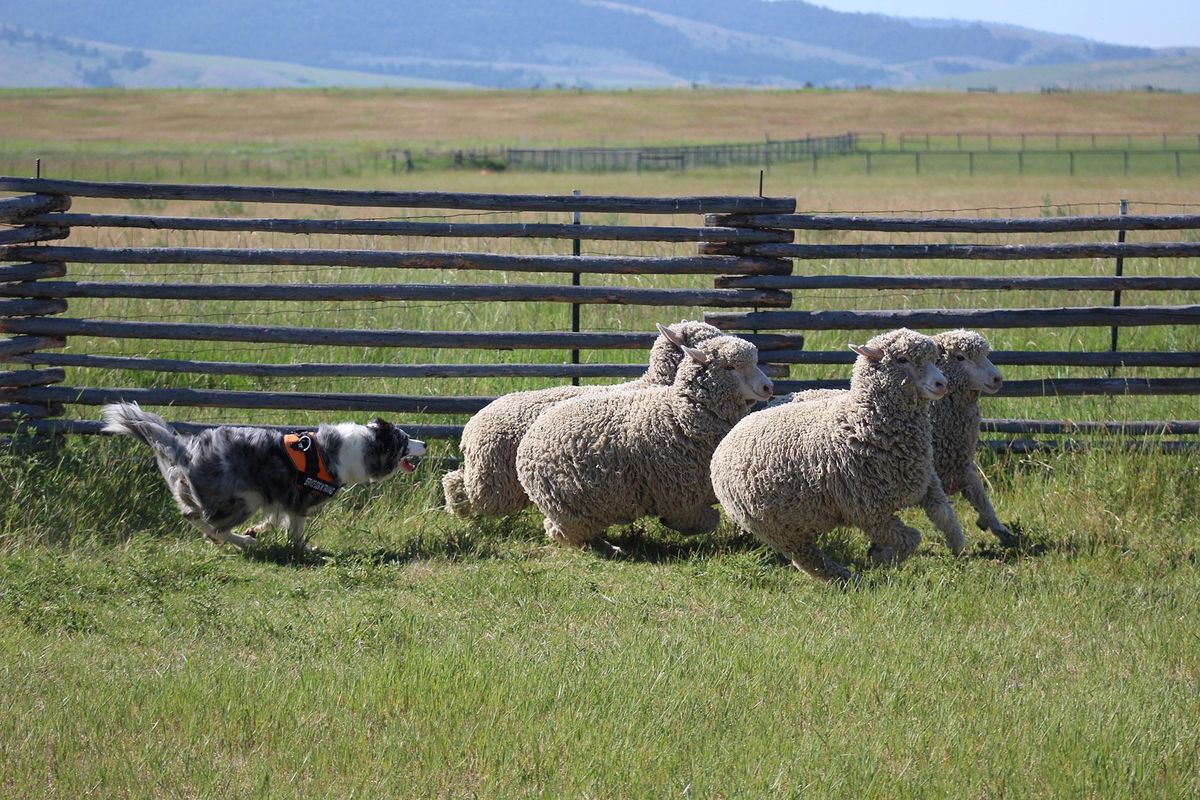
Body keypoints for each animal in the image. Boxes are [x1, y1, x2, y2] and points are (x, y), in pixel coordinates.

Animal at [100, 402, 427, 546]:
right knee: (212, 526)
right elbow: (296, 531)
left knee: (193, 516)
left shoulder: (279, 495)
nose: (425, 443)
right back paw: (243, 543)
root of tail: (186, 449)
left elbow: (273, 519)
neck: (359, 448)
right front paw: (300, 548)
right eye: (404, 440)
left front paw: (256, 530)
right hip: (244, 498)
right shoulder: (298, 499)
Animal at [513, 321, 772, 554]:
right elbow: (703, 520)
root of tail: (528, 442)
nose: (768, 387)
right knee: (565, 533)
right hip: (571, 507)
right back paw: (607, 549)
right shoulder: (679, 495)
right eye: (729, 367)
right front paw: (680, 523)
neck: (682, 412)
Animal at [710, 326, 964, 582]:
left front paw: (958, 546)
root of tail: (732, 433)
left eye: (933, 359)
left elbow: (944, 514)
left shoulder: (925, 481)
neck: (860, 420)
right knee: (809, 560)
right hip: (777, 529)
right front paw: (883, 556)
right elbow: (909, 540)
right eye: (902, 359)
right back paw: (849, 578)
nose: (941, 383)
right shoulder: (868, 511)